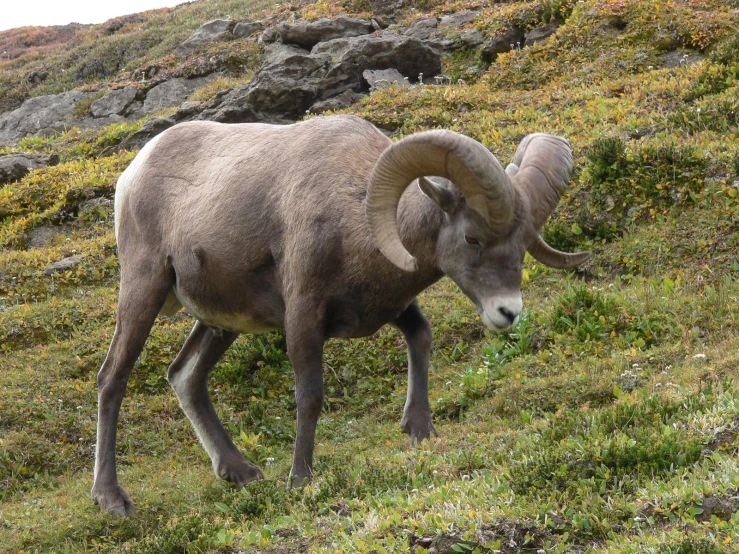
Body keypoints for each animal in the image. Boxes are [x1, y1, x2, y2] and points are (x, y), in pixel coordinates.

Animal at [92, 115, 588, 512]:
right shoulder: (303, 317)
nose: (508, 312)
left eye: (523, 245)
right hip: (143, 289)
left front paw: (420, 430)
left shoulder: (386, 307)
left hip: (219, 323)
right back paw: (112, 499)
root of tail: (132, 173)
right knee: (113, 378)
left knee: (185, 377)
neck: (353, 213)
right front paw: (300, 479)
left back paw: (241, 472)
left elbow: (421, 336)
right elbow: (310, 395)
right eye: (472, 238)